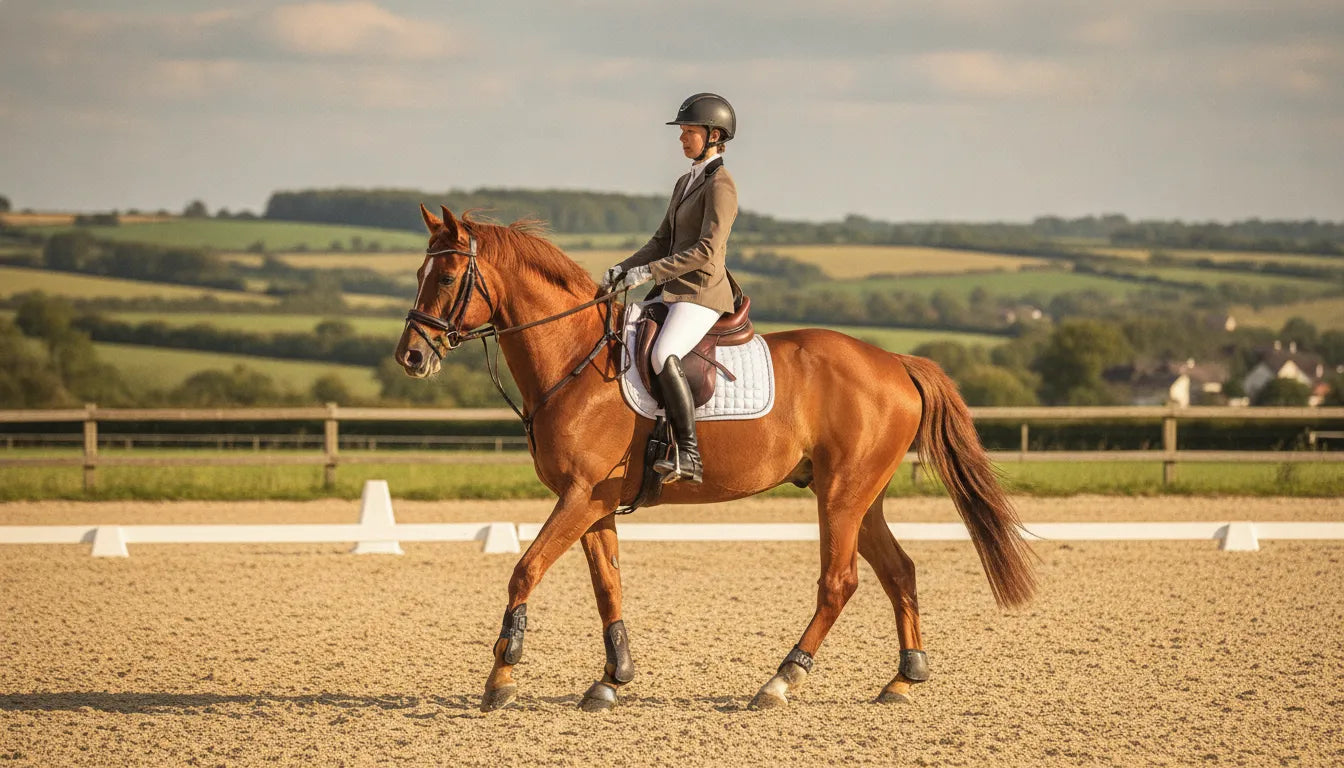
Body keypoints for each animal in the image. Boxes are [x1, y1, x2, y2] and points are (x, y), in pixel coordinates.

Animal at [395, 204, 1036, 712]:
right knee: (898, 570)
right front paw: (612, 680)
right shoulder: (593, 502)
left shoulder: (579, 496)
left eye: (446, 275)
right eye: (420, 273)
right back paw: (903, 679)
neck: (576, 358)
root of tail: (895, 361)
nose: (410, 357)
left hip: (841, 495)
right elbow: (608, 585)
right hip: (863, 495)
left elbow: (524, 570)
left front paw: (501, 677)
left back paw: (780, 682)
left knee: (840, 581)